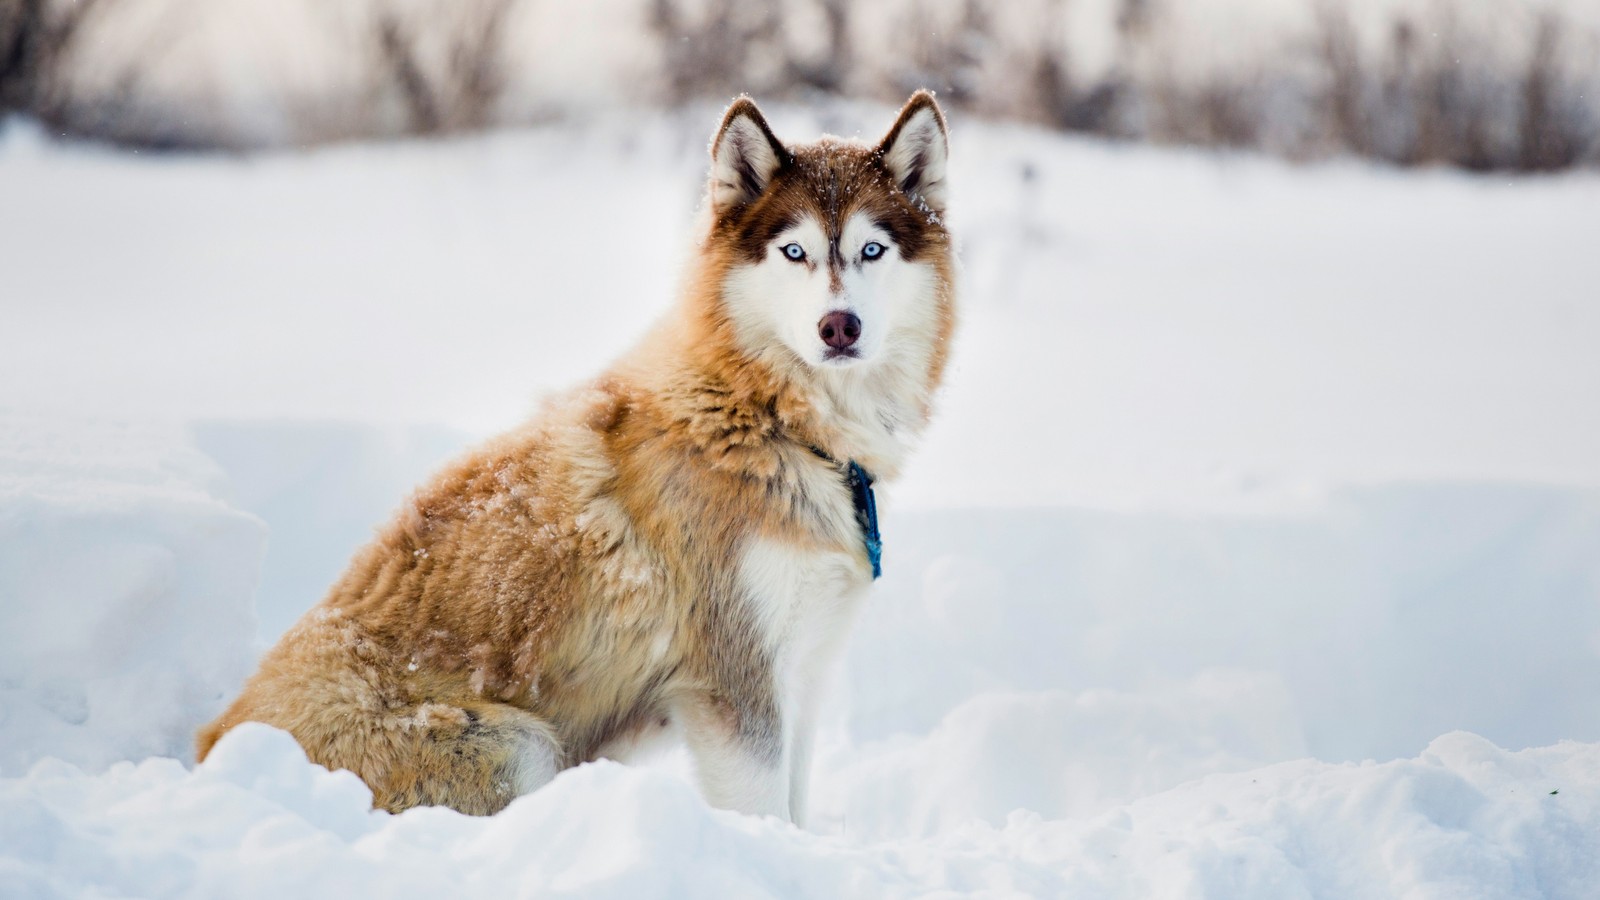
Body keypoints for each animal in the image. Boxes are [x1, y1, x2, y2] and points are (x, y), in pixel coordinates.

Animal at [195, 94, 953, 826]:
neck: (766, 421)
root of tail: (214, 742)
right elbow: (766, 814)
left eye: (873, 249)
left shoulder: (801, 670)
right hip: (519, 744)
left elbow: (796, 811)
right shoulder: (733, 683)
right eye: (794, 251)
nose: (838, 327)